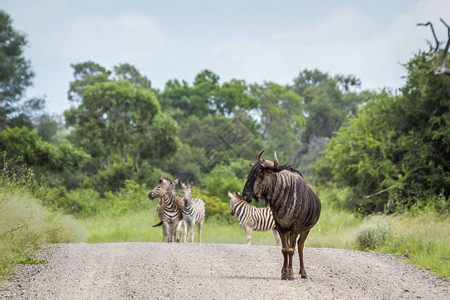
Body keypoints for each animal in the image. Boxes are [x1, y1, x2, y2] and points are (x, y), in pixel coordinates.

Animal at [243, 151, 320, 280]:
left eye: (259, 172)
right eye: (250, 171)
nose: (245, 195)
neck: (284, 197)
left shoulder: (296, 227)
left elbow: (291, 249)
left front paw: (291, 274)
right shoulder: (280, 227)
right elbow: (284, 249)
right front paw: (285, 274)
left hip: (305, 230)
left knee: (300, 246)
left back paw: (303, 273)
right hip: (288, 231)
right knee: (289, 246)